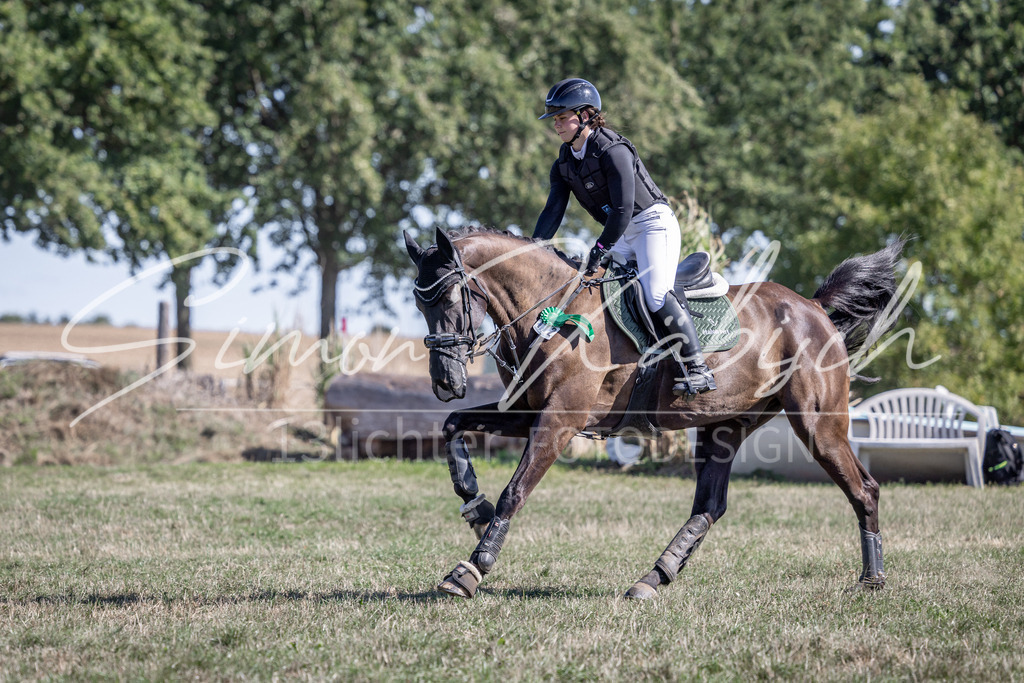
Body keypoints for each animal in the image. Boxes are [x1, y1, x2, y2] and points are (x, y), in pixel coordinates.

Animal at [404, 226, 904, 600]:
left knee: (864, 488)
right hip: (725, 426)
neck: (553, 311)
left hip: (818, 425)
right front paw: (474, 505)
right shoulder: (530, 414)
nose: (446, 383)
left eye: (448, 298)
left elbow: (515, 491)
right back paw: (653, 578)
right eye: (418, 303)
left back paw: (872, 578)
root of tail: (813, 307)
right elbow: (453, 426)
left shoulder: (560, 421)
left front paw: (472, 568)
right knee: (710, 505)